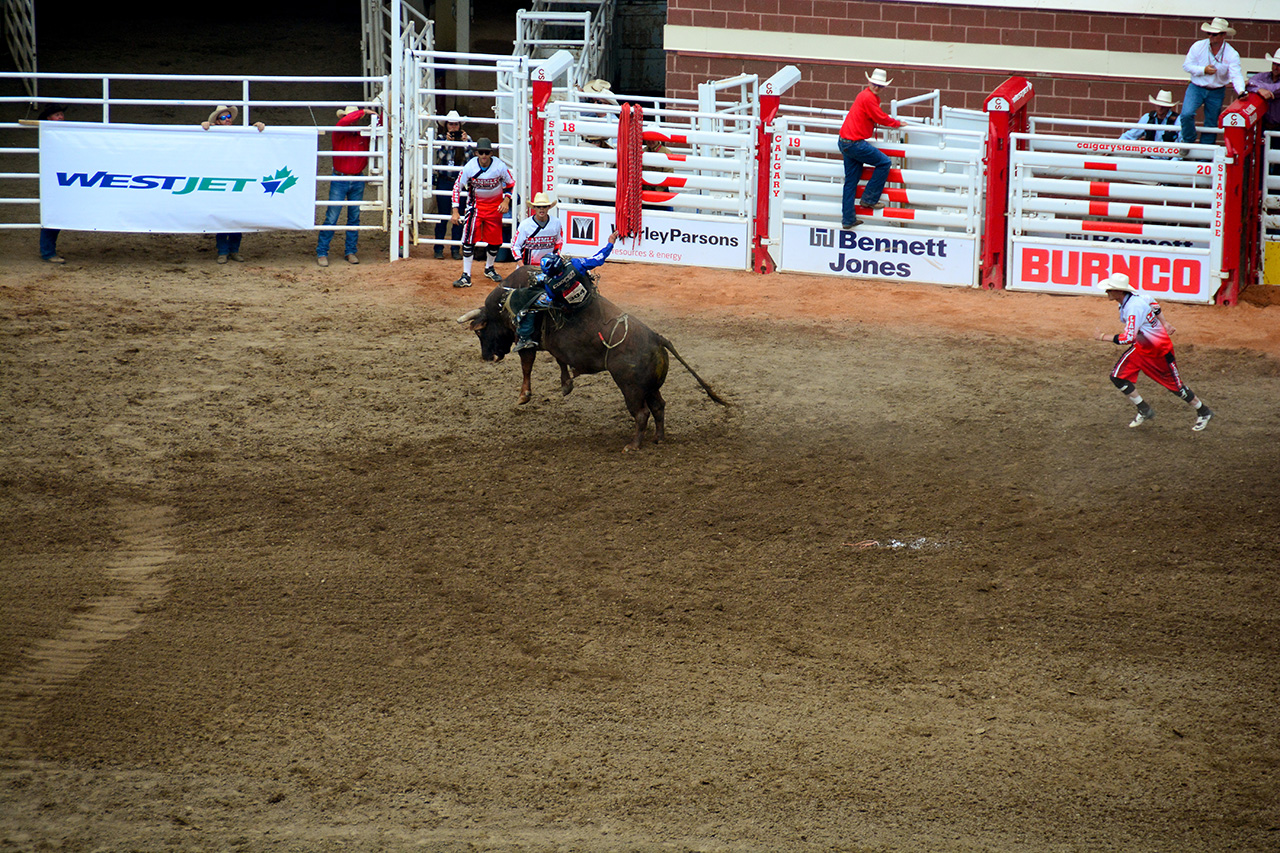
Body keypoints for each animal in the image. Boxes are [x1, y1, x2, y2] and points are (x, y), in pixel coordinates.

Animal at [455, 266, 727, 450]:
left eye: (479, 332)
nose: (487, 357)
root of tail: (657, 338)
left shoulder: (527, 338)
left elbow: (527, 363)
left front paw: (524, 396)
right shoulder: (556, 347)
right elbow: (559, 360)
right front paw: (566, 384)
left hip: (630, 387)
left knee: (641, 414)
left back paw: (633, 445)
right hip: (649, 387)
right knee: (659, 407)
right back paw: (658, 438)